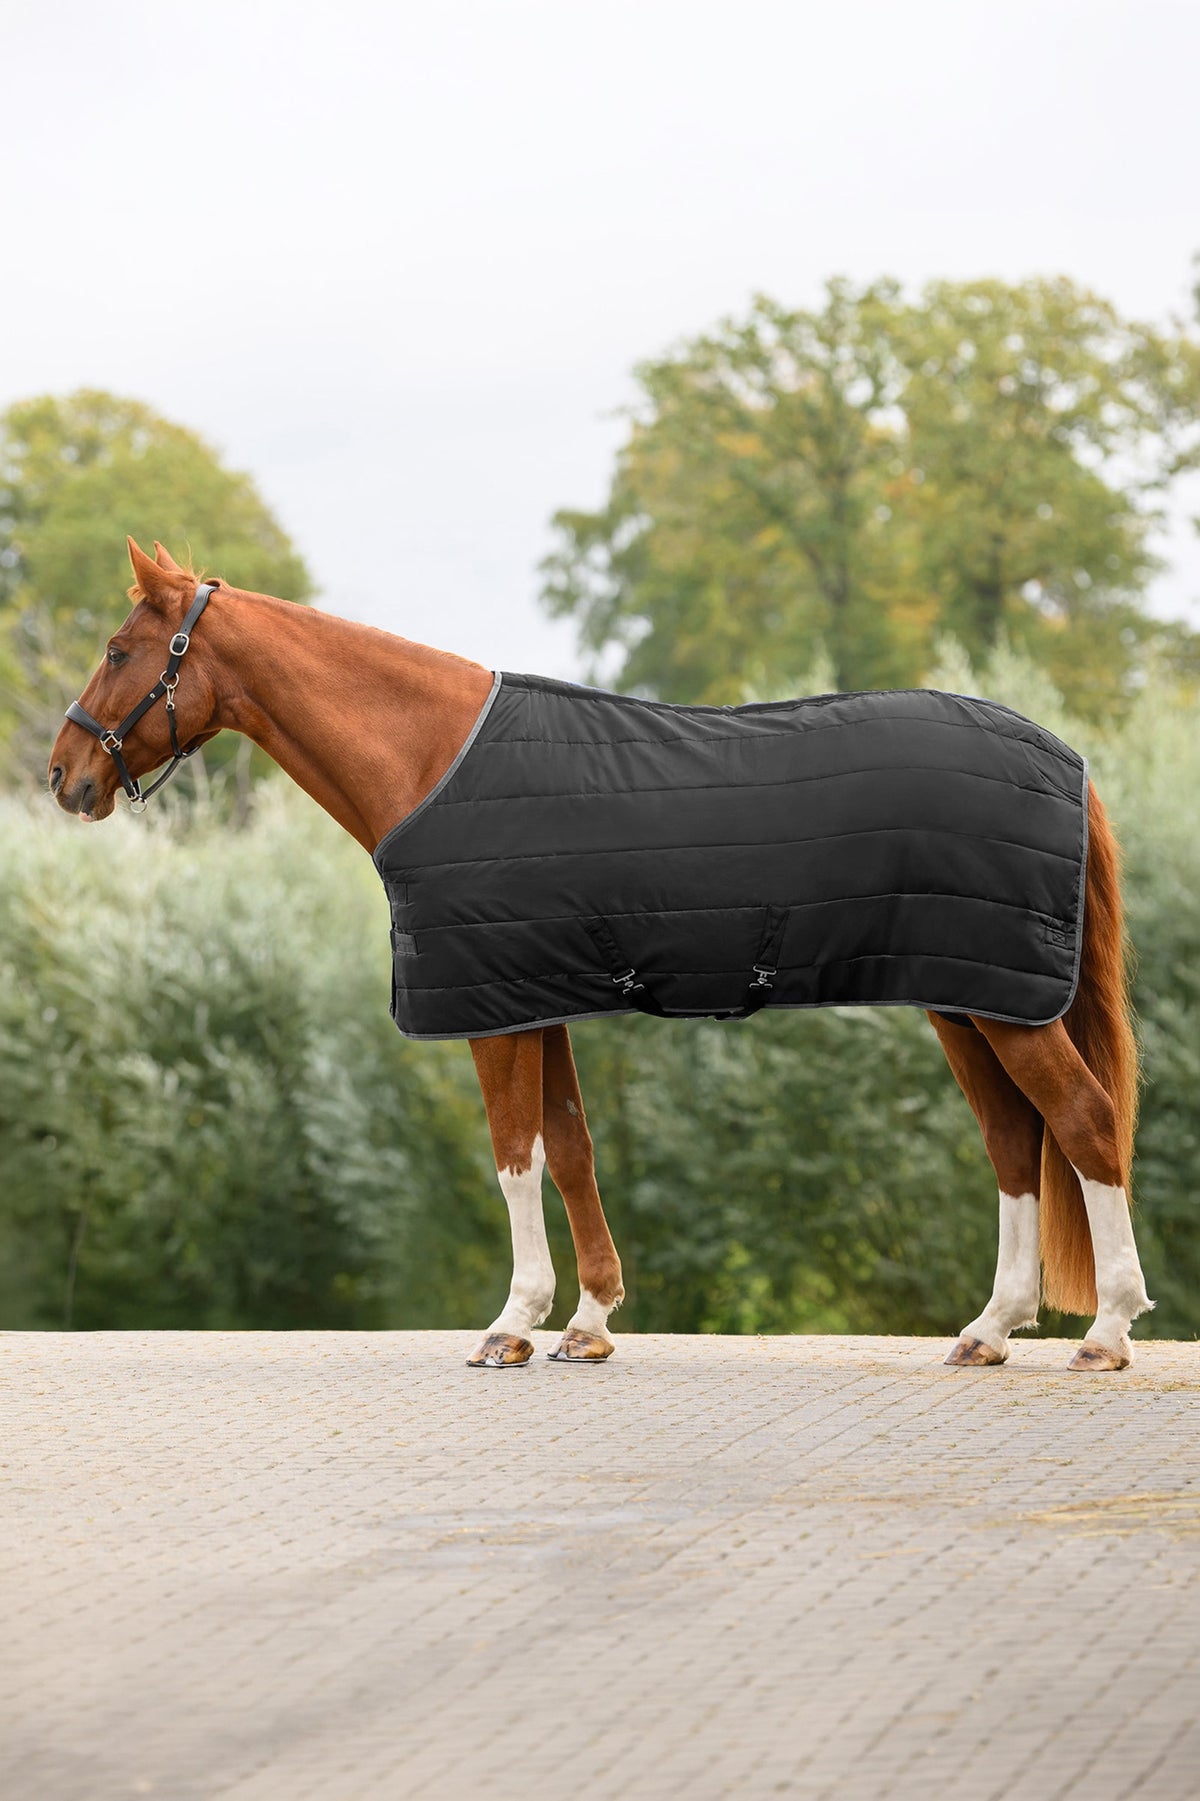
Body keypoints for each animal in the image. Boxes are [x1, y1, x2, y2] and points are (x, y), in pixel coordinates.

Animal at [48, 538, 1153, 1372]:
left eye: (118, 648)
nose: (64, 777)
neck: (434, 759)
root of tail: (1068, 760)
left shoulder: (493, 1011)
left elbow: (515, 1155)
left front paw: (513, 1323)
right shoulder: (537, 1000)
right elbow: (571, 1148)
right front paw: (588, 1322)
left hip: (1005, 1006)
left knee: (1084, 1121)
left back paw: (1105, 1330)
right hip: (969, 1000)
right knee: (1015, 1142)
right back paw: (988, 1330)